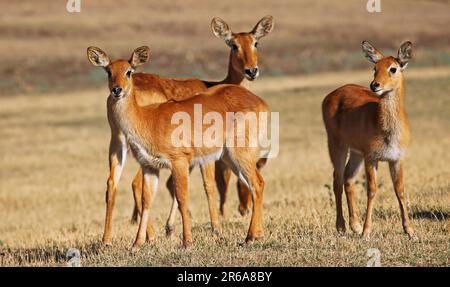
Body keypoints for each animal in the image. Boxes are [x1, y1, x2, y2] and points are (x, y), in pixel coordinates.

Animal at [91, 15, 272, 246]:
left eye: (256, 42)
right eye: (234, 45)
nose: (252, 70)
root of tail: (260, 102)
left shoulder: (182, 161)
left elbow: (189, 191)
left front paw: (187, 235)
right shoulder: (175, 163)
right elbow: (200, 188)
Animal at [324, 40, 414, 238]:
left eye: (393, 68)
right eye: (375, 67)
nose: (375, 85)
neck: (386, 130)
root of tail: (331, 95)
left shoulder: (397, 159)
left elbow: (400, 190)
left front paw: (410, 230)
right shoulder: (371, 158)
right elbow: (371, 190)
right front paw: (366, 231)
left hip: (356, 153)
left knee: (348, 178)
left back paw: (354, 225)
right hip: (337, 146)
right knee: (337, 179)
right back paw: (342, 226)